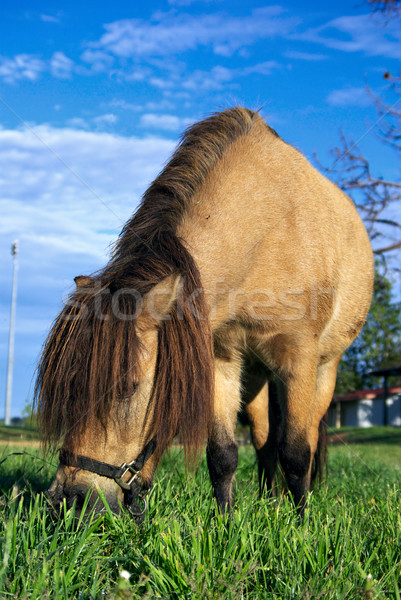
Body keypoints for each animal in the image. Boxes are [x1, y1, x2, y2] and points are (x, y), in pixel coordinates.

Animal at [34, 109, 372, 520]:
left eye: (128, 386)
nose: (66, 503)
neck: (267, 230)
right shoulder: (220, 358)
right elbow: (223, 455)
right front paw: (226, 523)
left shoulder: (299, 359)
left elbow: (296, 452)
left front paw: (302, 524)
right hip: (255, 375)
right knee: (263, 438)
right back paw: (269, 498)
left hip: (325, 369)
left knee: (301, 439)